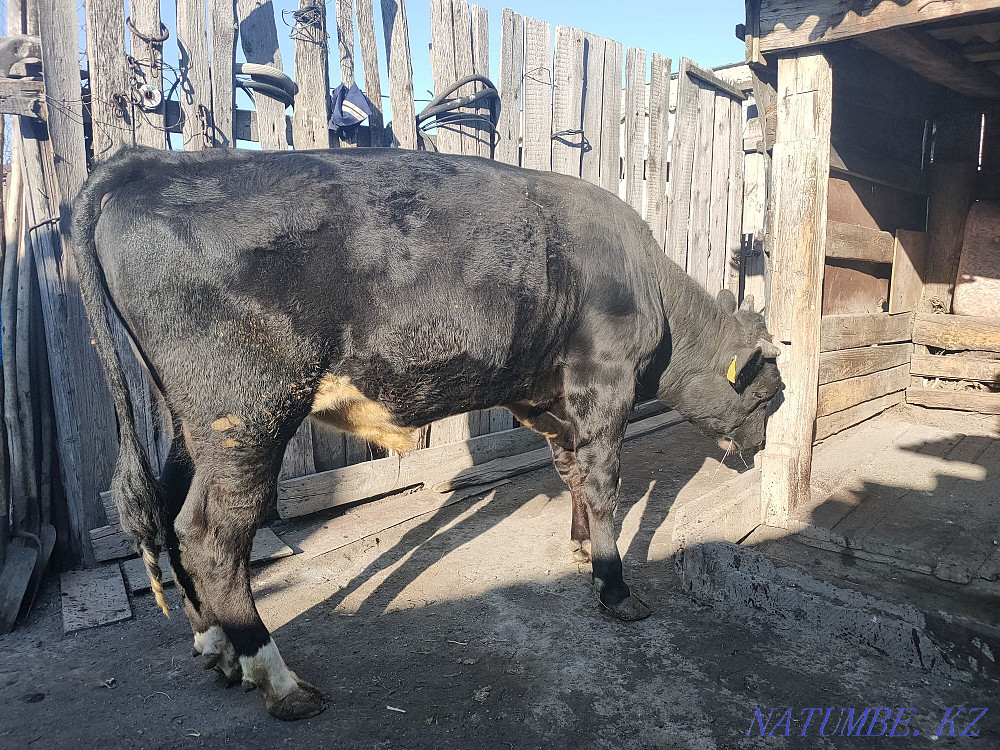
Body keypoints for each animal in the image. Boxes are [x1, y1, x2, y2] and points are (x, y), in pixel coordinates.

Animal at [71, 146, 783, 720]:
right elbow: (605, 480)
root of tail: (154, 162)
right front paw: (614, 588)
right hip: (246, 415)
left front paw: (582, 548)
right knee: (211, 537)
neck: (649, 287)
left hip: (188, 422)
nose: (758, 452)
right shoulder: (602, 382)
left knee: (170, 516)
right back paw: (280, 681)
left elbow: (574, 470)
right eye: (771, 399)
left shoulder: (547, 397)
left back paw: (216, 648)